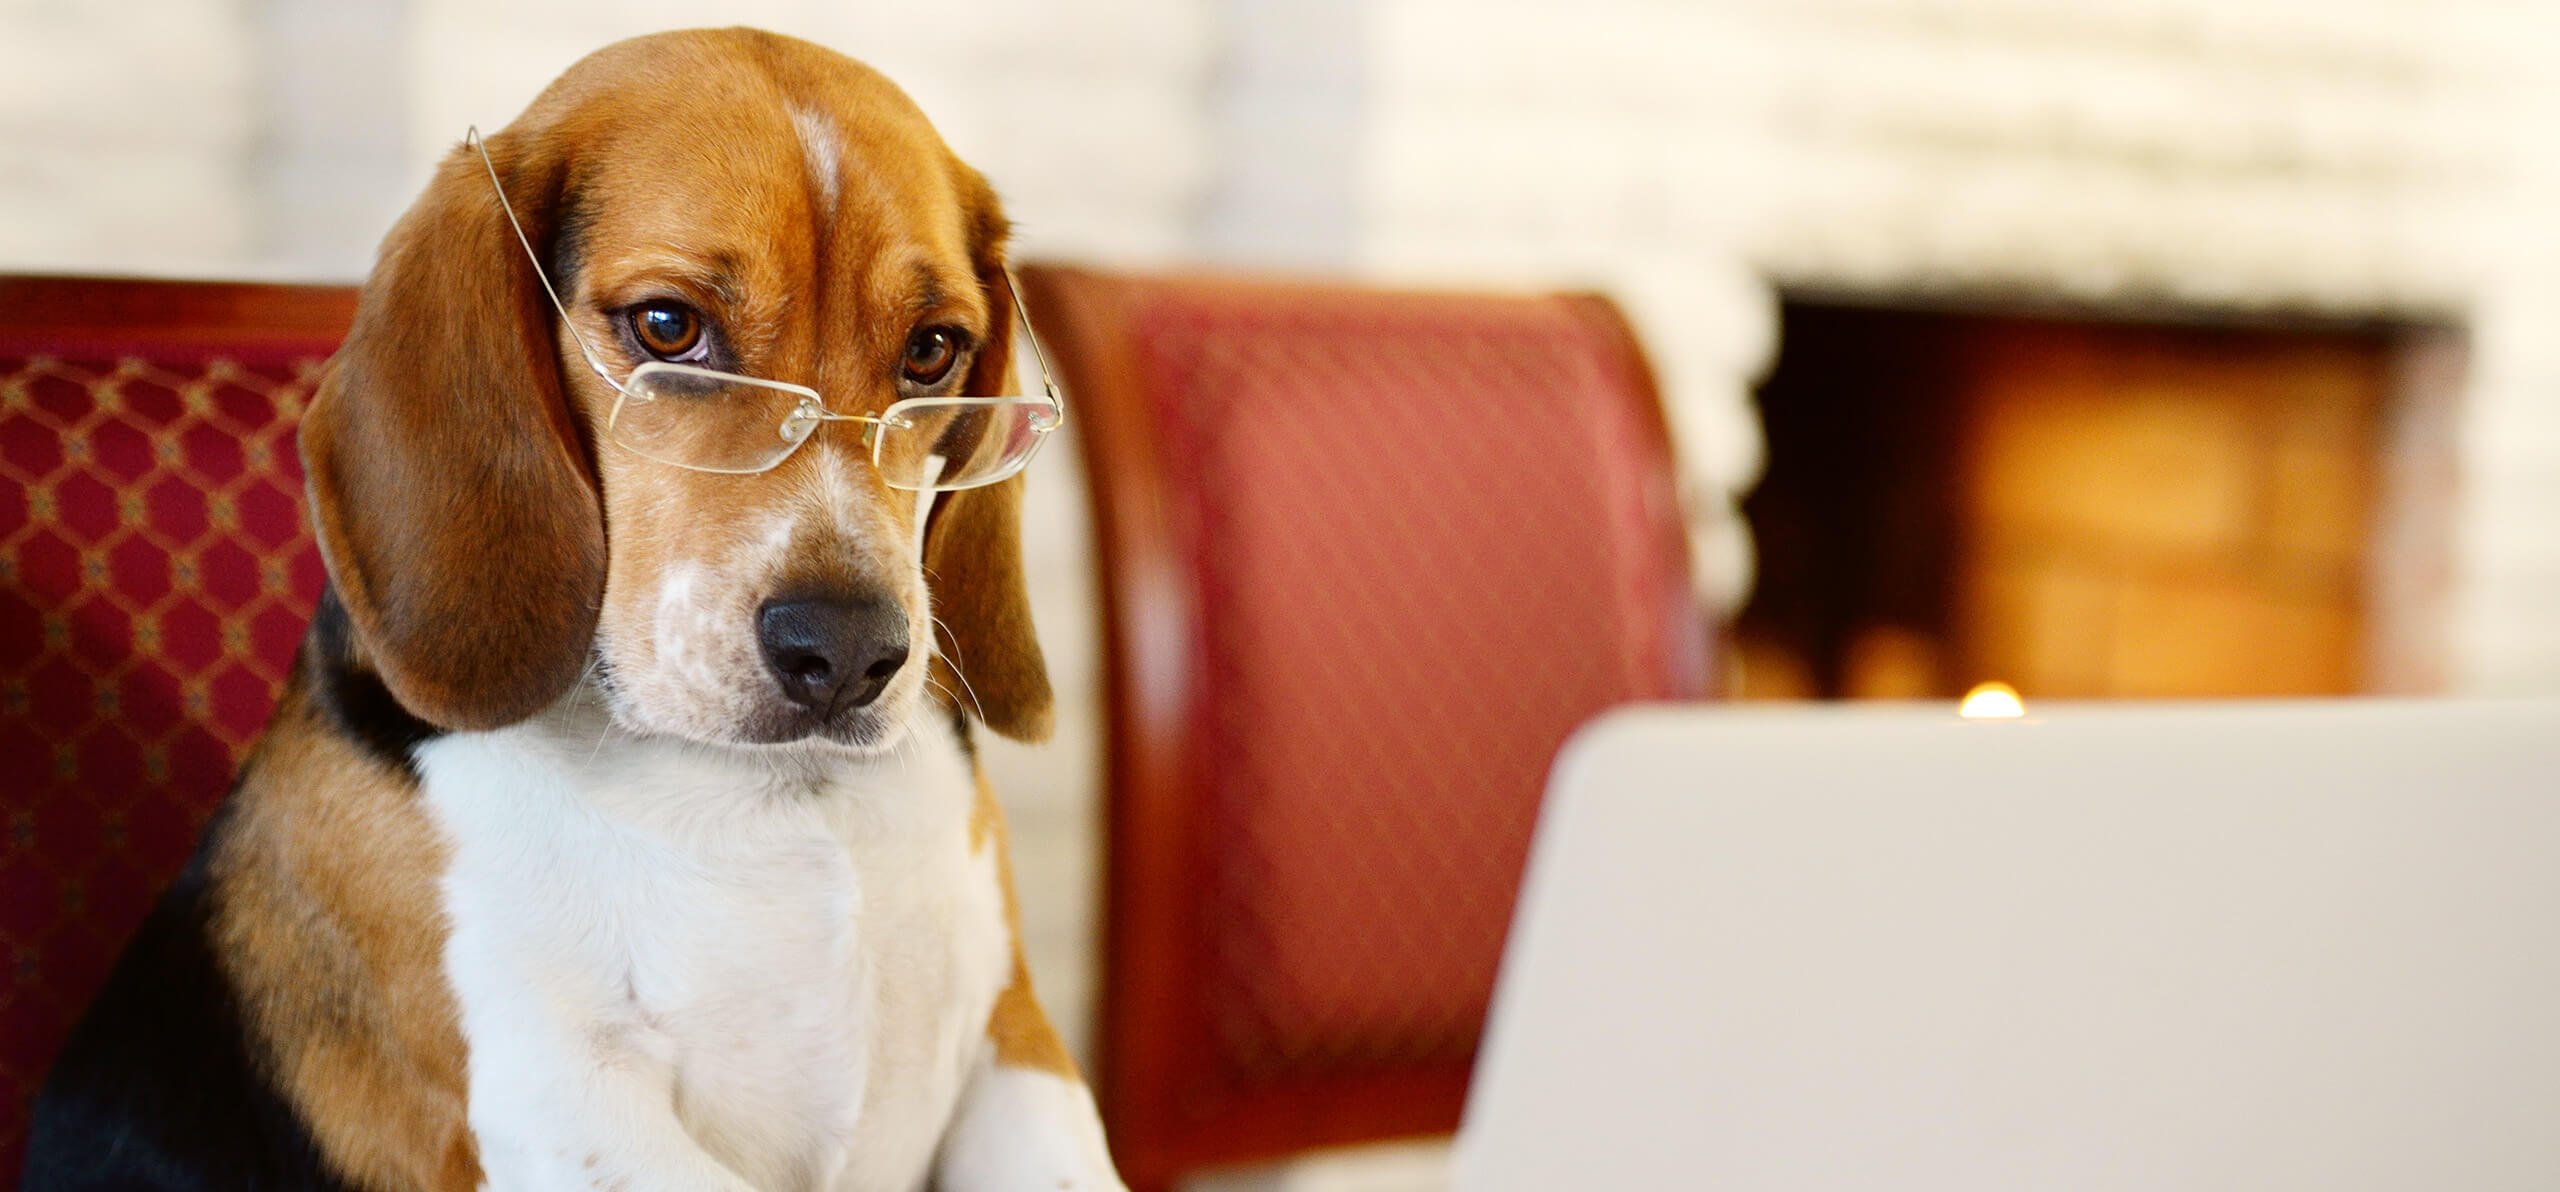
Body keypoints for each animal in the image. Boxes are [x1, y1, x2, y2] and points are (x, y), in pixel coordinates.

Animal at [22, 27, 1121, 1192]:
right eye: (668, 327)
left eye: (931, 350)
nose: (848, 650)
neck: (773, 801)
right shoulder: (559, 1100)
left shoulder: (1015, 1038)